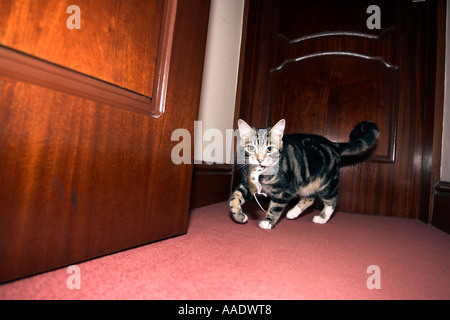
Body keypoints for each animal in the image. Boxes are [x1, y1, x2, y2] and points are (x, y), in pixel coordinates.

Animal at [229, 119, 380, 229]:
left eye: (270, 148)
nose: (259, 159)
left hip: (326, 182)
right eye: (251, 147)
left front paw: (268, 220)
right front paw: (238, 215)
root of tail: (333, 144)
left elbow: (276, 206)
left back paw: (322, 217)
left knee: (332, 199)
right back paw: (293, 212)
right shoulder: (247, 184)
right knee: (310, 198)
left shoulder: (284, 191)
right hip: (305, 181)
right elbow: (234, 198)